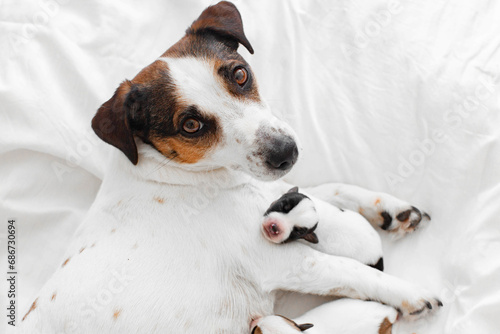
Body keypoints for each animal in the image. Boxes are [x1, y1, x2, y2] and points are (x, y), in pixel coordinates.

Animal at [19, 2, 442, 334]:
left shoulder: (277, 193)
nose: (286, 152)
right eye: (191, 126)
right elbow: (356, 273)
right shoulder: (284, 261)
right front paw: (410, 294)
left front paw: (388, 209)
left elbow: (331, 189)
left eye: (240, 74)